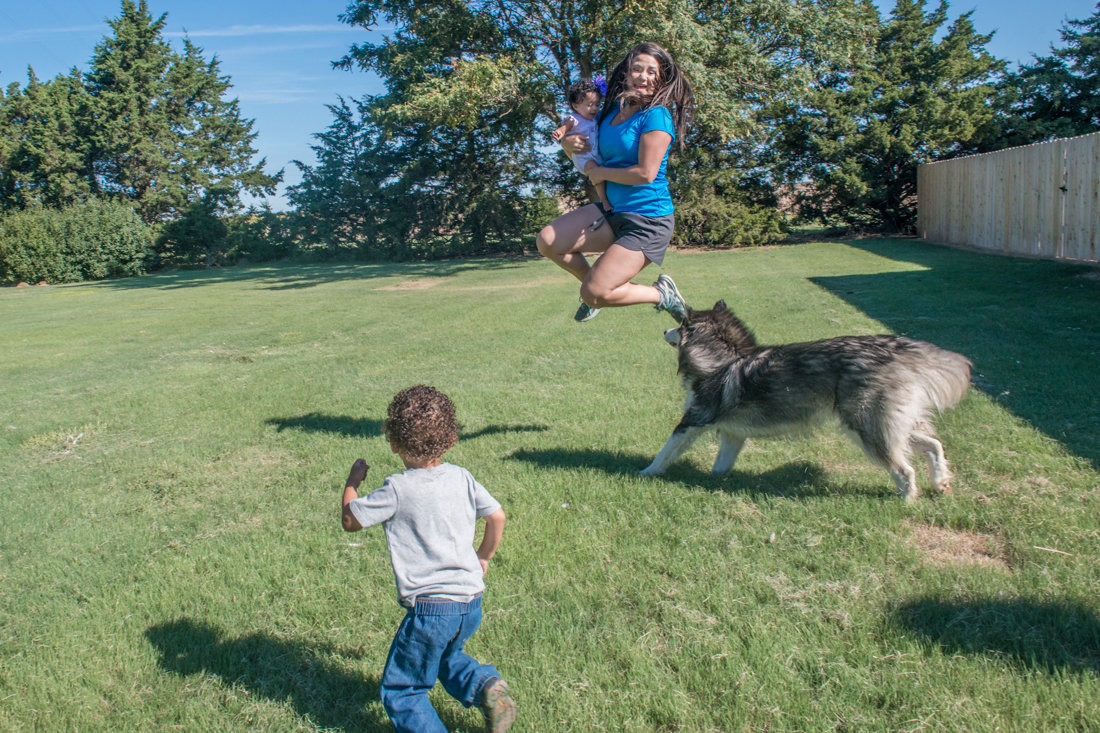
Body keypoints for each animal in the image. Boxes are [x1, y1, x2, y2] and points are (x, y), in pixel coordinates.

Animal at [642, 299, 976, 499]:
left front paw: (646, 472)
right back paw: (940, 482)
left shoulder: (694, 419)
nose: (663, 329)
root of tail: (894, 348)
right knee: (934, 445)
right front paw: (716, 482)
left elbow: (666, 450)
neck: (722, 357)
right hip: (888, 424)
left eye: (679, 326)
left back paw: (906, 500)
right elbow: (720, 464)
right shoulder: (734, 434)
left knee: (905, 470)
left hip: (867, 428)